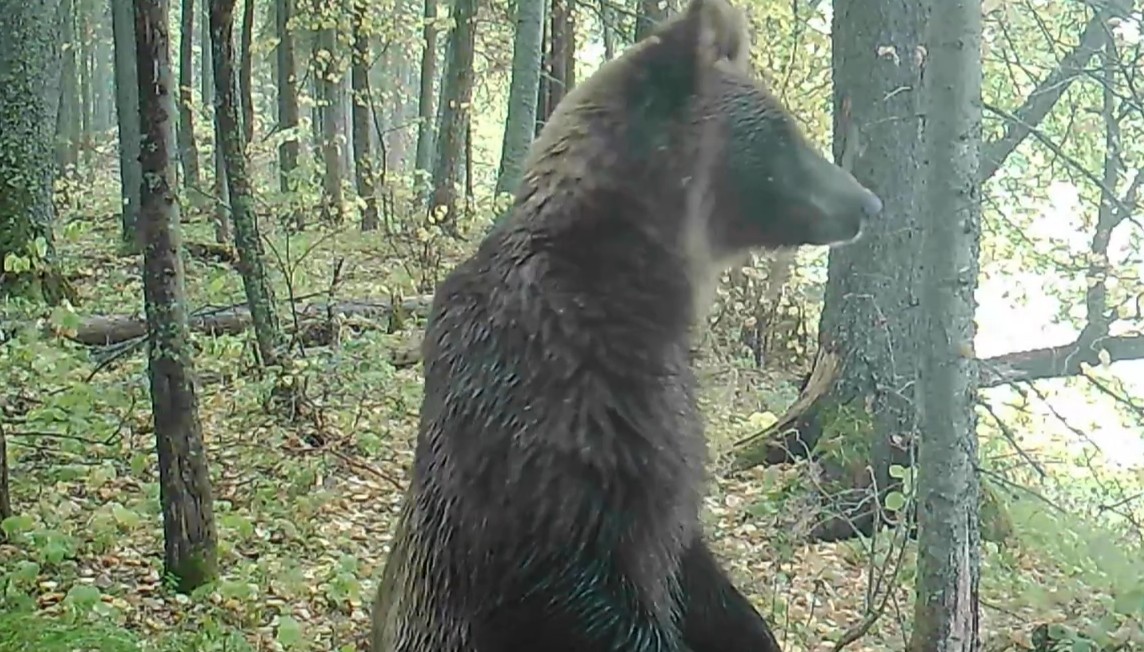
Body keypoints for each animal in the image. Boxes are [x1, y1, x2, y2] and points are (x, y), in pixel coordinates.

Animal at [370, 0, 878, 645]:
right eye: (785, 134)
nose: (867, 202)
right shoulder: (550, 408)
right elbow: (577, 571)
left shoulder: (665, 411)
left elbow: (690, 554)